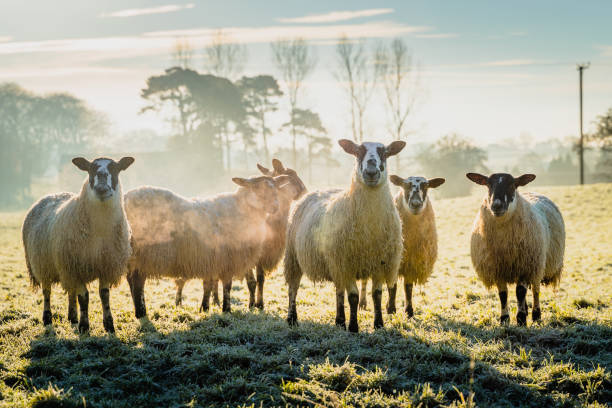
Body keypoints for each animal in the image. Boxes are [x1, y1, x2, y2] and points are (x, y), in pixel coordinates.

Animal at [23, 155, 136, 334]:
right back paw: (47, 318)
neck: (100, 230)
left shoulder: (105, 265)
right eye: (91, 169)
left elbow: (104, 295)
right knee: (47, 292)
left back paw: (72, 316)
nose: (102, 186)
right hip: (44, 265)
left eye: (115, 168)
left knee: (70, 290)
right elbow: (84, 297)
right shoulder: (77, 267)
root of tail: (52, 195)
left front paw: (109, 325)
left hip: (65, 266)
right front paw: (84, 326)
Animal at [125, 174, 292, 318]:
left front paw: (204, 308)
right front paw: (226, 310)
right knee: (138, 282)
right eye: (257, 188)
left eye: (276, 188)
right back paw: (141, 312)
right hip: (142, 253)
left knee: (131, 281)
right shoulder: (227, 258)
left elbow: (208, 284)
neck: (242, 211)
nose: (275, 206)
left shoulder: (210, 258)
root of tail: (125, 198)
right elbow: (227, 286)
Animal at [284, 139, 406, 334]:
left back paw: (339, 321)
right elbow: (354, 297)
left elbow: (377, 295)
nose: (371, 172)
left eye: (385, 153)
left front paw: (378, 324)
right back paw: (292, 318)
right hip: (294, 256)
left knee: (338, 290)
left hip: (334, 260)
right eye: (357, 152)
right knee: (293, 287)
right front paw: (354, 327)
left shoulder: (379, 262)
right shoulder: (347, 262)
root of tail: (309, 193)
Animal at [468, 172, 564, 326]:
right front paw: (505, 319)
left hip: (537, 263)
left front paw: (521, 319)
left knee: (535, 289)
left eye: (512, 185)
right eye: (488, 185)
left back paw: (536, 315)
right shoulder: (498, 269)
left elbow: (520, 292)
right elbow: (503, 294)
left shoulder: (525, 265)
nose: (497, 205)